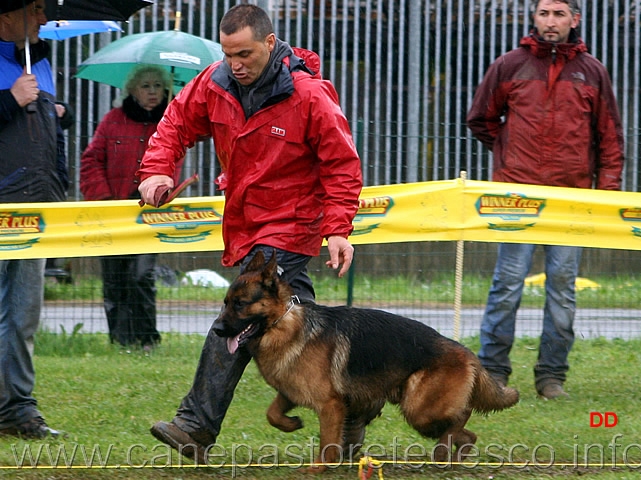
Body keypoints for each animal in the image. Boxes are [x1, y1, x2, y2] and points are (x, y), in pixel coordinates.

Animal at [212, 251, 516, 472]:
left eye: (240, 304)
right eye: (225, 302)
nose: (215, 329)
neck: (283, 324)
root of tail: (467, 353)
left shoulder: (331, 405)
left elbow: (328, 444)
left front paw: (317, 469)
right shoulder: (290, 392)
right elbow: (272, 414)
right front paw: (292, 423)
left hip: (419, 408)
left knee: (461, 417)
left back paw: (445, 448)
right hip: (422, 411)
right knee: (467, 433)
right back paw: (454, 453)